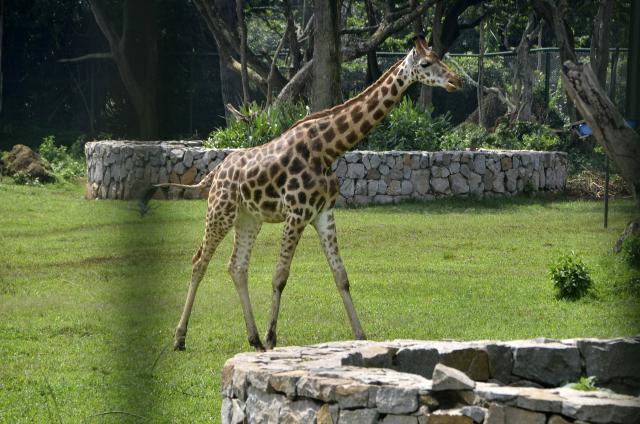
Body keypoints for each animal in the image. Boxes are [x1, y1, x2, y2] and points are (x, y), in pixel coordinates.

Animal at [153, 36, 462, 351]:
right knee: (199, 261)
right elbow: (280, 277)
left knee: (237, 267)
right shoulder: (296, 214)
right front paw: (272, 338)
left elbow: (341, 276)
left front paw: (360, 336)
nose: (456, 81)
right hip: (219, 212)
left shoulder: (323, 213)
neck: (327, 149)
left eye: (440, 58)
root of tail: (215, 172)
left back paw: (253, 339)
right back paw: (180, 338)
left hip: (248, 219)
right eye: (426, 63)